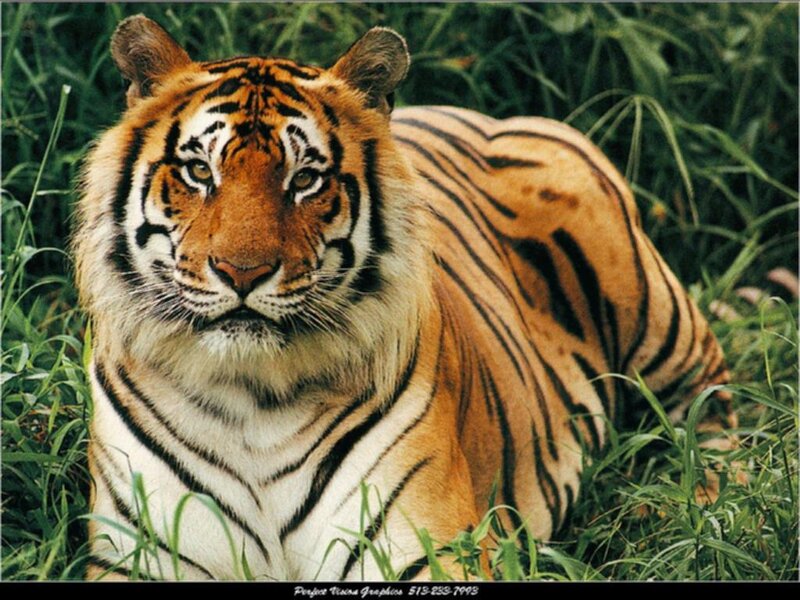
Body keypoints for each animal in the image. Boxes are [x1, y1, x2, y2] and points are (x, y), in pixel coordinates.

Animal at [74, 15, 734, 581]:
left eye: (305, 179)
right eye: (198, 172)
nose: (243, 272)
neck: (251, 401)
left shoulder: (424, 549)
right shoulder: (142, 555)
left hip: (653, 313)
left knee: (712, 404)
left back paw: (694, 506)